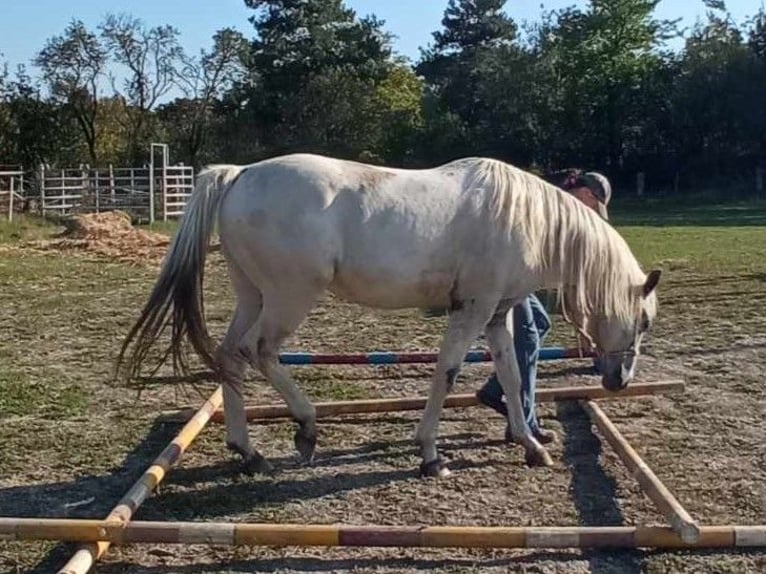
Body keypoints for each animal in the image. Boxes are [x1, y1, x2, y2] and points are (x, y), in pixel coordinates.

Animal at [117, 152, 664, 476]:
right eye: (643, 320)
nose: (619, 381)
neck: (523, 218)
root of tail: (241, 174)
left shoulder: (495, 316)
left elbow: (510, 376)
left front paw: (531, 444)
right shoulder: (471, 312)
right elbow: (447, 372)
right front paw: (430, 455)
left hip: (253, 296)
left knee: (231, 355)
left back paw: (248, 451)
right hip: (289, 298)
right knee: (262, 351)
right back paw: (306, 428)